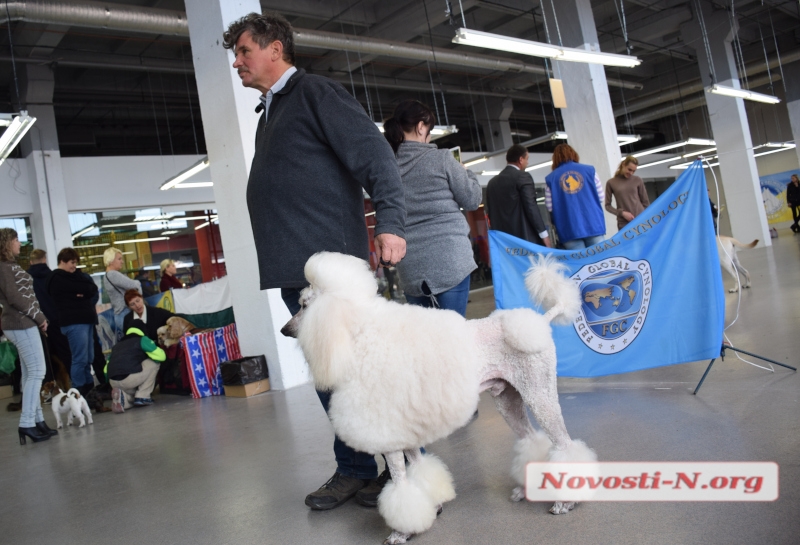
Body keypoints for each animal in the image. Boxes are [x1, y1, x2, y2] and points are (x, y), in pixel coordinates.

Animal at [282, 252, 592, 544]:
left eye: (305, 305)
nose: (286, 330)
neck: (362, 336)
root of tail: (540, 322)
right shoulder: (405, 432)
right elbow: (419, 470)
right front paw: (434, 505)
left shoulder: (388, 434)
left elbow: (400, 483)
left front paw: (400, 532)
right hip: (507, 399)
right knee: (531, 440)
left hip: (539, 394)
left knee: (564, 446)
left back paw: (565, 500)